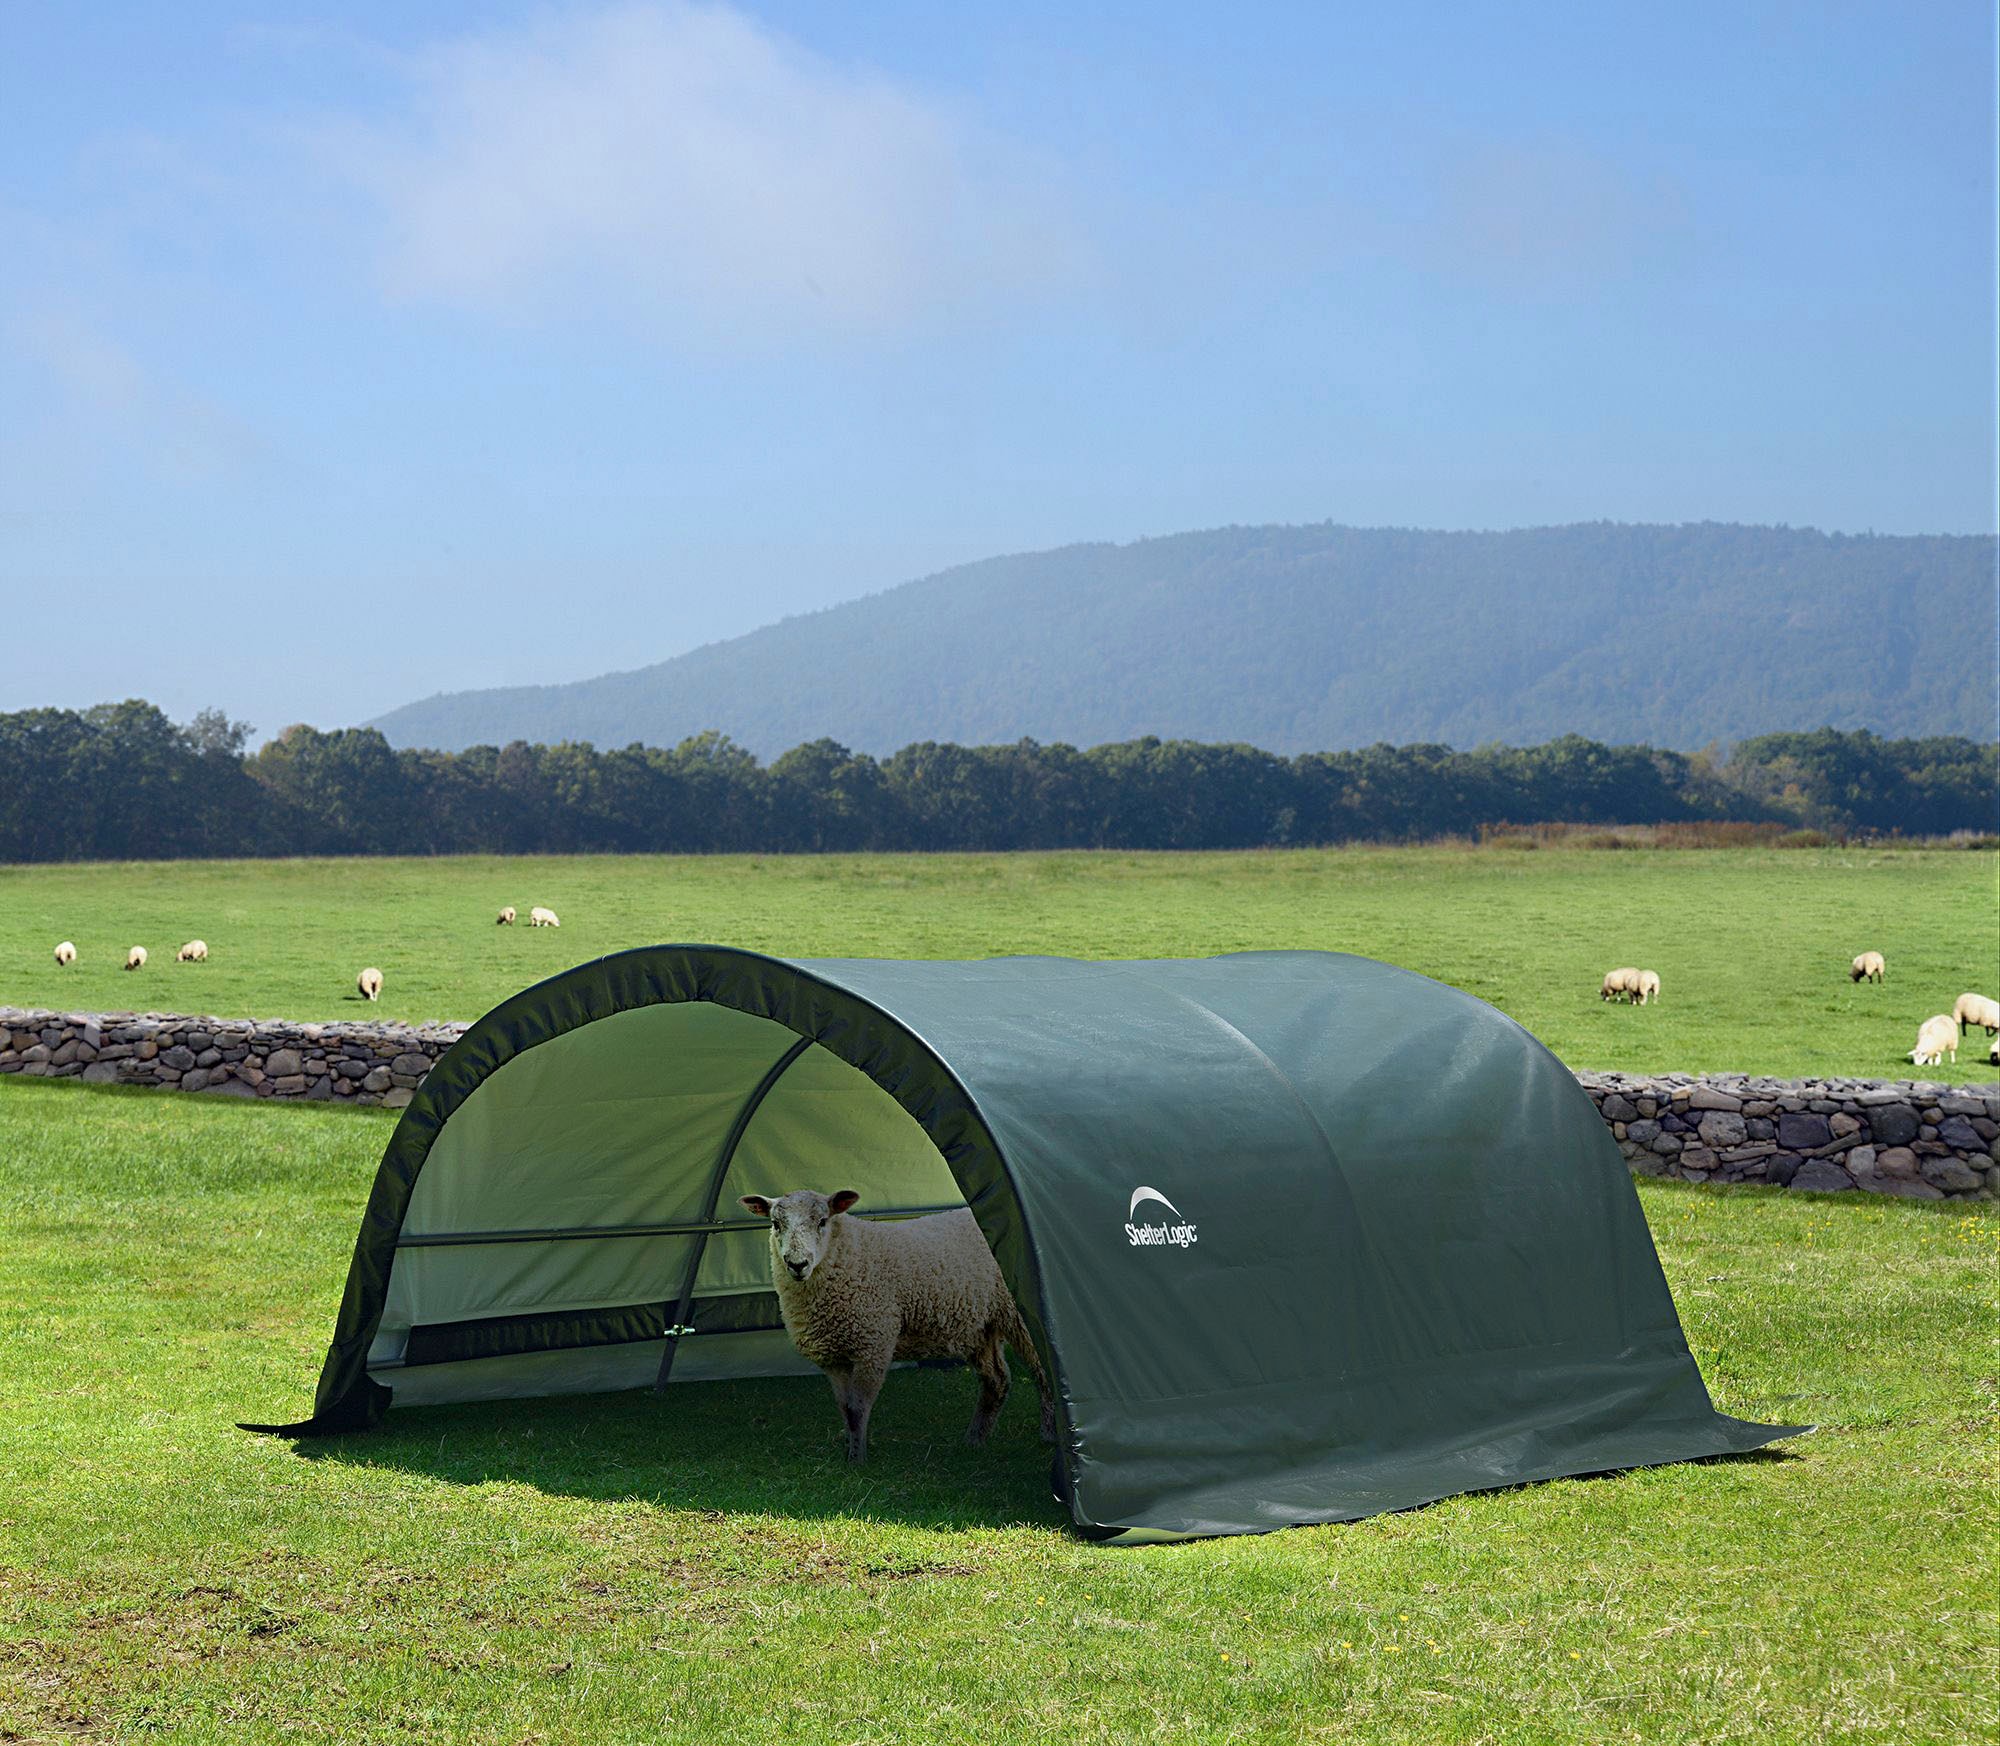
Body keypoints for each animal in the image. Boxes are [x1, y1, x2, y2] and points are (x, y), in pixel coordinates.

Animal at [740, 1184, 1056, 1456]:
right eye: (775, 1224)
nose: (797, 1264)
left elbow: (858, 1407)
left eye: (822, 1221)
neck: (849, 1255)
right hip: (980, 1326)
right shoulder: (834, 1357)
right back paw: (974, 1439)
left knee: (1043, 1373)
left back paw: (1048, 1433)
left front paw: (857, 1459)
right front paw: (850, 1448)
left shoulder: (874, 1344)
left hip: (1020, 1318)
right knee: (997, 1381)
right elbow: (844, 1408)